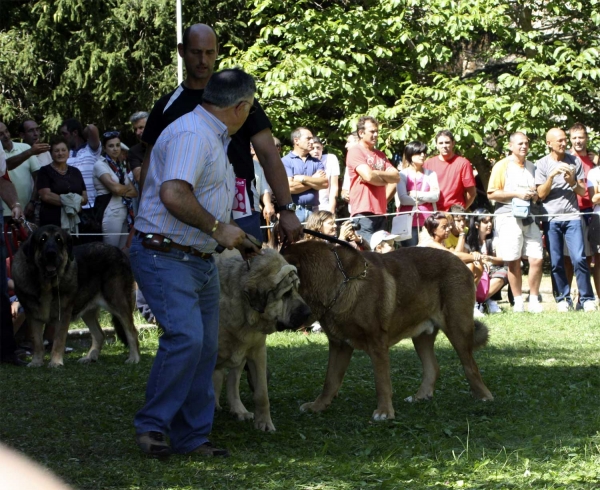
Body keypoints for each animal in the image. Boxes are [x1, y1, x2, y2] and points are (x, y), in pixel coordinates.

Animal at [12, 224, 139, 366]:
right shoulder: (32, 316)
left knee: (132, 332)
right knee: (100, 334)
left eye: (59, 240)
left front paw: (55, 363)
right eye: (42, 240)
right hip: (88, 311)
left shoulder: (63, 315)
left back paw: (134, 358)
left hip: (118, 304)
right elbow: (37, 342)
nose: (51, 253)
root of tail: (120, 251)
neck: (46, 284)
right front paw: (36, 362)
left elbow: (58, 341)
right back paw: (90, 357)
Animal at [214, 251, 310, 430]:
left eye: (297, 289)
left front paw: (264, 423)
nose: (308, 313)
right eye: (286, 294)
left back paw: (239, 410)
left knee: (231, 381)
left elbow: (261, 393)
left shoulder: (257, 352)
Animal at [282, 241, 492, 422]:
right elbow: (330, 381)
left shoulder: (377, 343)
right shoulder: (339, 345)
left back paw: (484, 396)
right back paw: (420, 396)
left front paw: (384, 412)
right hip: (421, 336)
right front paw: (317, 406)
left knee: (471, 366)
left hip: (457, 328)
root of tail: (460, 261)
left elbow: (381, 381)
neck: (340, 283)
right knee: (432, 367)